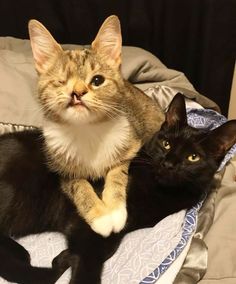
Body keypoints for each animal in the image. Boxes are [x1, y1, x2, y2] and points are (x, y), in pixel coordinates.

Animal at [0, 94, 236, 282]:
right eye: (166, 144)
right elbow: (91, 259)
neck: (159, 192)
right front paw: (68, 261)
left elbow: (106, 248)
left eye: (193, 157)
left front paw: (64, 257)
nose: (168, 164)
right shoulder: (90, 219)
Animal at [28, 16, 164, 237]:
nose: (77, 92)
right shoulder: (62, 170)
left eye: (97, 80)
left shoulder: (130, 146)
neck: (86, 129)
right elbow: (79, 187)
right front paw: (100, 216)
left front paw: (115, 210)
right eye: (60, 81)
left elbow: (117, 174)